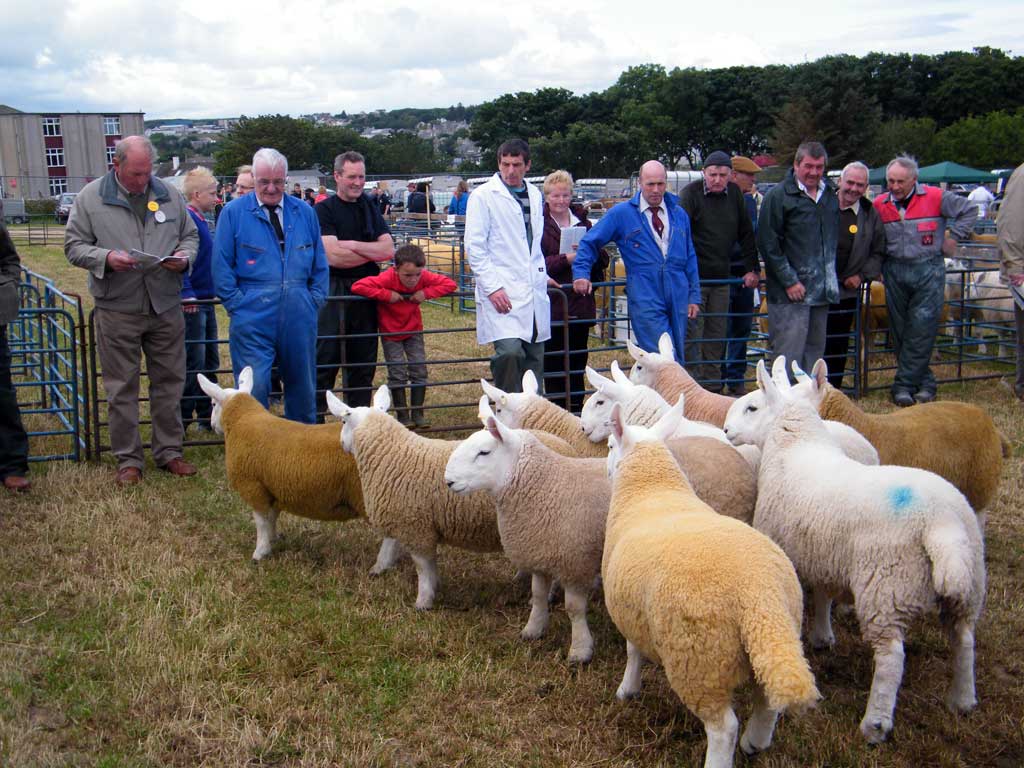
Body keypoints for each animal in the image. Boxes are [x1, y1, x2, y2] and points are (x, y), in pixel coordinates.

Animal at [195, 370, 403, 573]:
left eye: (213, 403)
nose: (212, 425)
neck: (241, 421)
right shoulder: (273, 489)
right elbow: (271, 518)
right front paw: (273, 539)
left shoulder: (253, 487)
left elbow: (261, 522)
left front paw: (260, 552)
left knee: (391, 535)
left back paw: (381, 565)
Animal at [602, 399, 819, 765]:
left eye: (609, 446)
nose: (606, 468)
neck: (651, 486)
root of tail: (759, 594)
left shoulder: (628, 609)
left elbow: (633, 651)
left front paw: (626, 690)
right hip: (771, 641)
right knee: (767, 702)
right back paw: (755, 742)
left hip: (699, 660)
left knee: (723, 728)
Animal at [753, 360, 983, 745]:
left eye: (752, 407)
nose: (726, 430)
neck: (794, 442)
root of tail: (942, 521)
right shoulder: (822, 555)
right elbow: (823, 596)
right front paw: (822, 637)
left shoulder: (785, 546)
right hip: (968, 586)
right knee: (964, 638)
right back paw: (961, 700)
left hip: (886, 589)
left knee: (891, 656)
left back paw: (874, 724)